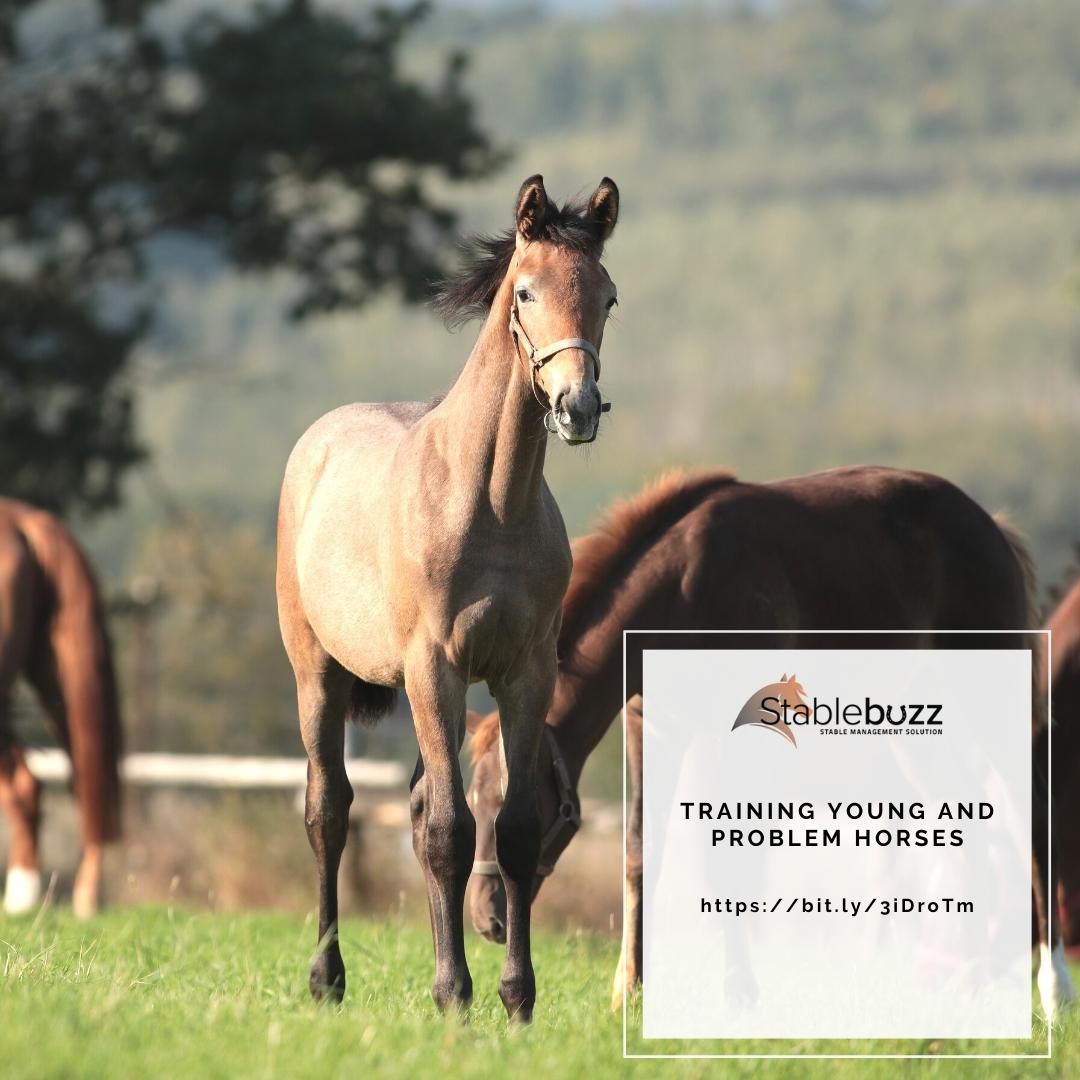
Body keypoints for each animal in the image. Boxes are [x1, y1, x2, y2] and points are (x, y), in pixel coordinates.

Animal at [276, 175, 620, 1020]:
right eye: (526, 292)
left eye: (607, 295)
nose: (577, 408)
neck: (489, 501)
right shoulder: (435, 670)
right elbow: (449, 834)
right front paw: (453, 995)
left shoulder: (526, 673)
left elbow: (515, 829)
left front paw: (517, 998)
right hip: (318, 676)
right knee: (329, 811)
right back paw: (327, 978)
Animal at [466, 466, 1076, 1021]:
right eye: (474, 802)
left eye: (520, 810)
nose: (486, 918)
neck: (680, 587)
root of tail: (991, 529)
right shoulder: (651, 729)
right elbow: (641, 854)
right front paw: (629, 992)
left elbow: (726, 859)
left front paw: (738, 990)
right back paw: (964, 986)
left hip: (989, 702)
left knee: (1031, 818)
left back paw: (1053, 991)